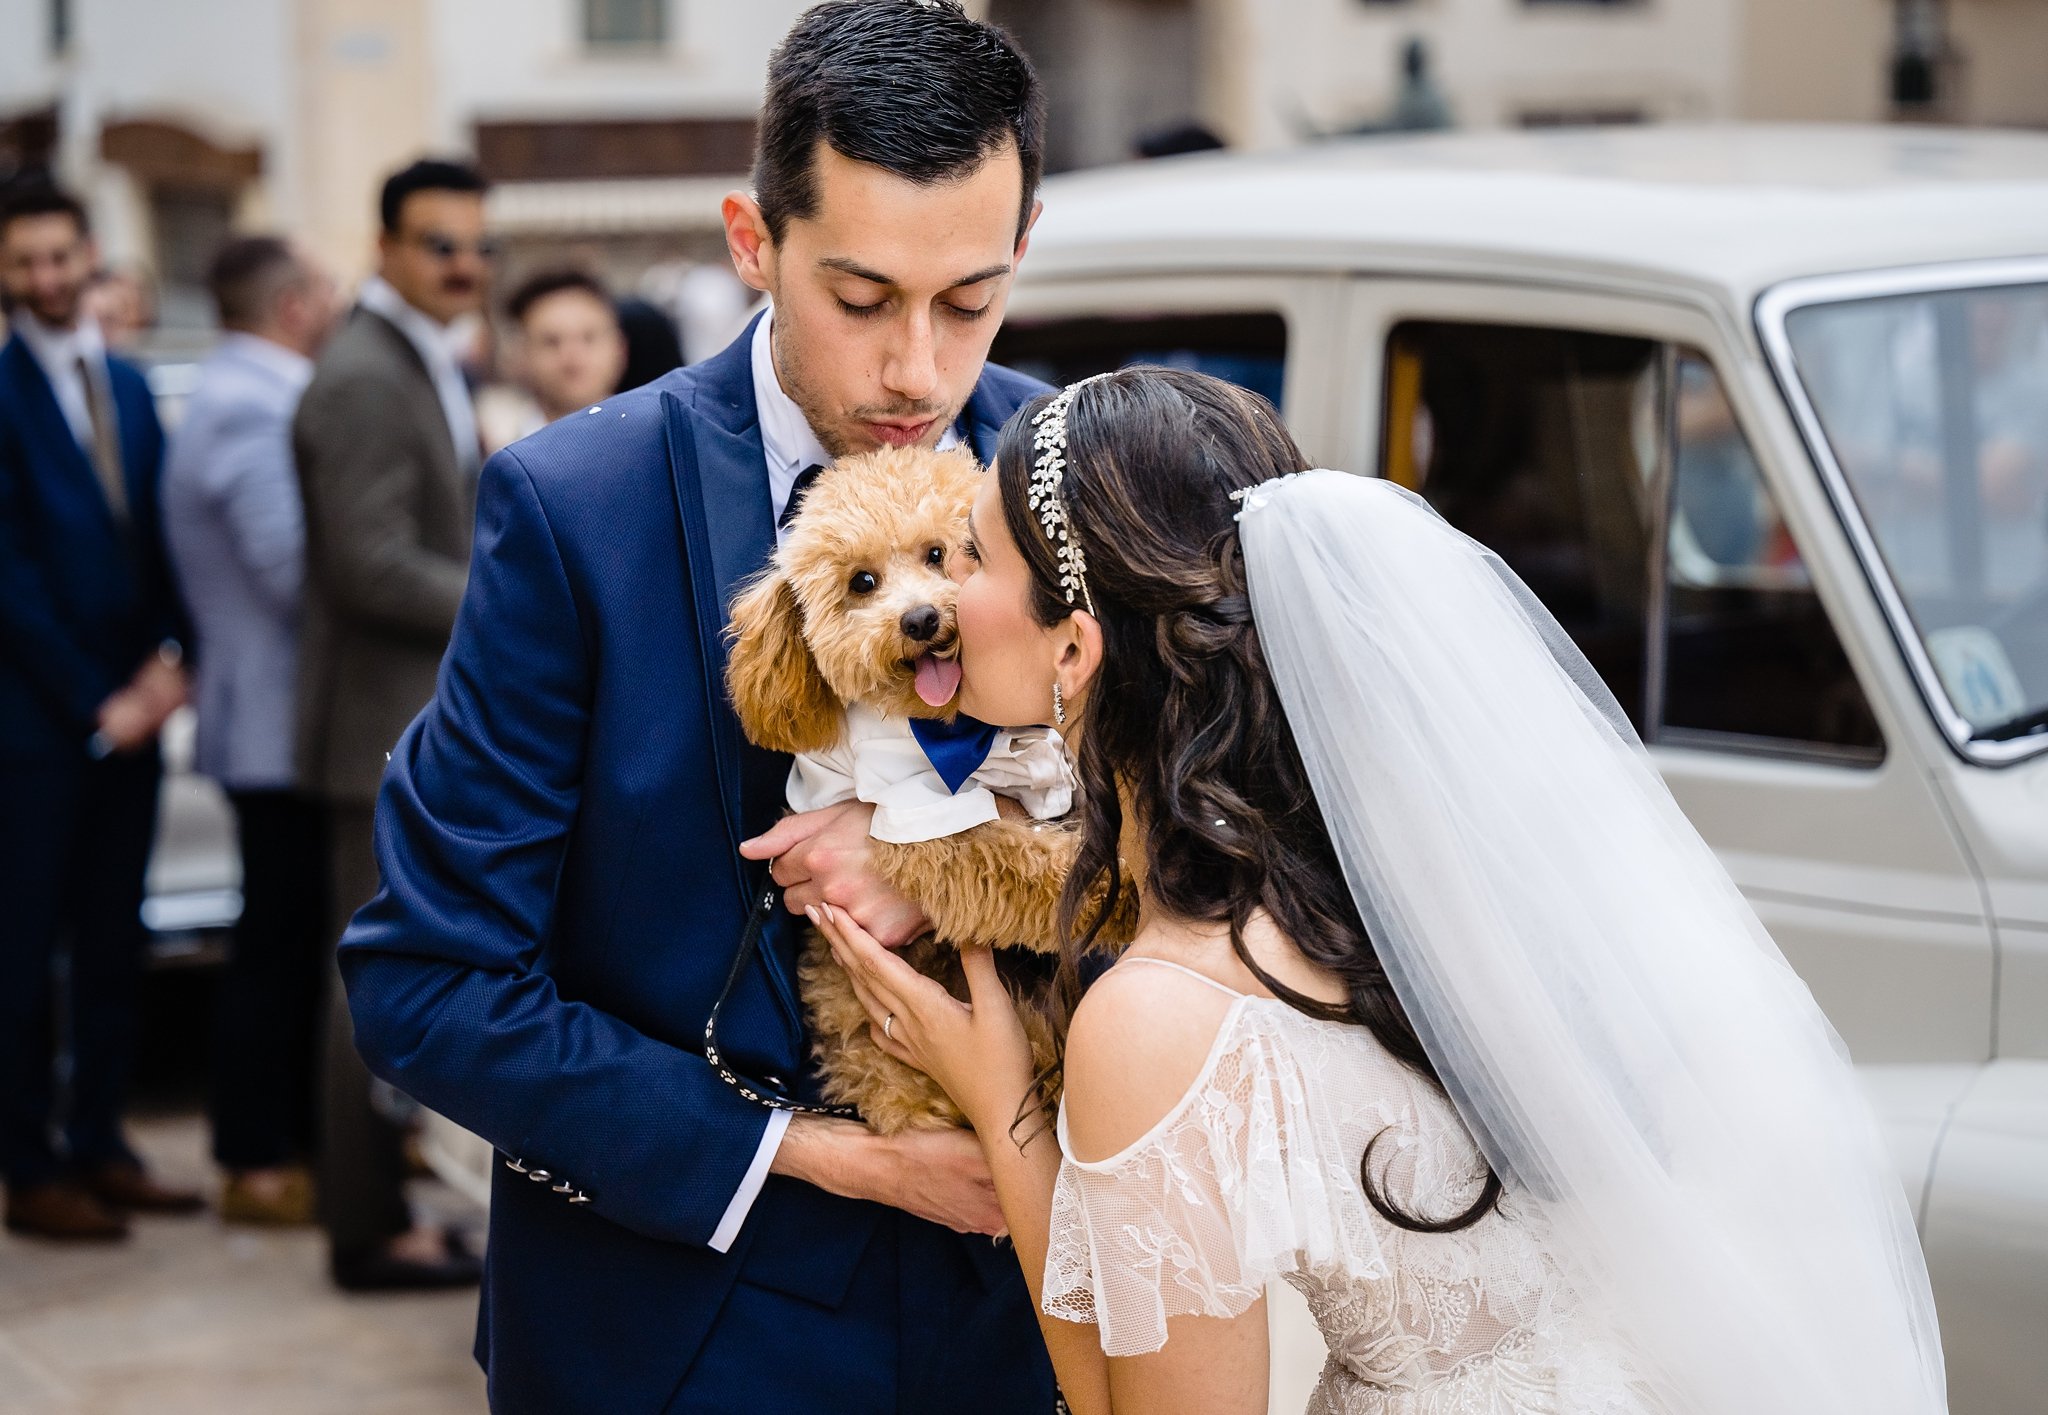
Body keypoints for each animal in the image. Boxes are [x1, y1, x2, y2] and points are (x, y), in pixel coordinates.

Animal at [724, 448, 1138, 1138]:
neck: (956, 728)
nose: (919, 619)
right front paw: (1120, 895)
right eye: (862, 582)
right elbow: (1020, 862)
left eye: (941, 554)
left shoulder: (1051, 775)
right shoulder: (922, 827)